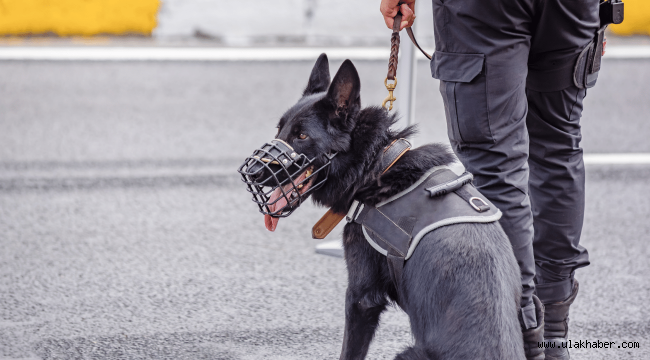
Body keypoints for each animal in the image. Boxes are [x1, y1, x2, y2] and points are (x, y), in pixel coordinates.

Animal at [240, 54, 524, 360]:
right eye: (279, 129)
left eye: (302, 136)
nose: (251, 172)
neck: (377, 163)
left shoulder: (361, 297)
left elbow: (350, 351)